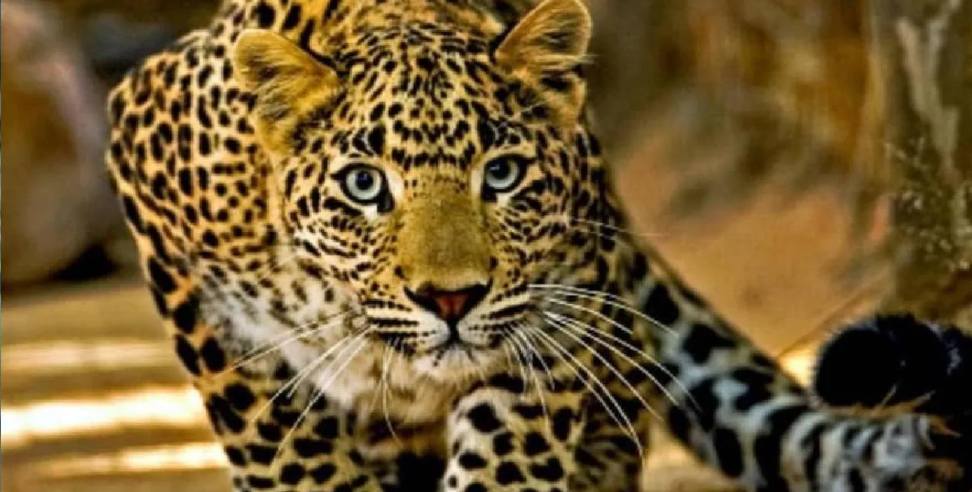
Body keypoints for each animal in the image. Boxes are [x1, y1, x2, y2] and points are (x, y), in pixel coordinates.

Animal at [105, 0, 971, 490]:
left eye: (503, 173)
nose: (451, 299)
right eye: (363, 185)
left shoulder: (553, 314)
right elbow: (283, 448)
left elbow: (506, 456)